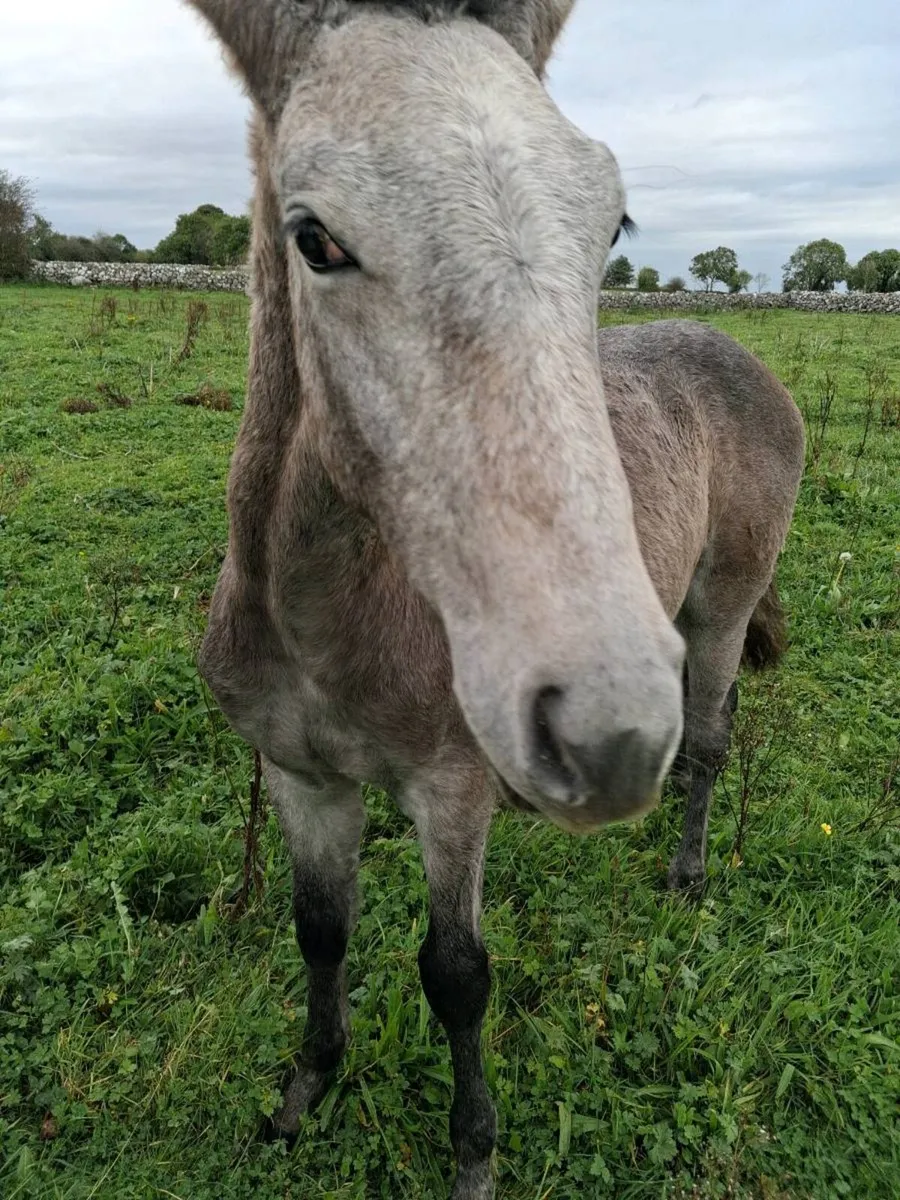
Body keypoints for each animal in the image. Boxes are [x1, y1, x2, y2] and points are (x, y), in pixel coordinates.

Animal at [183, 2, 804, 1194]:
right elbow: (318, 929)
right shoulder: (299, 777)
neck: (326, 619)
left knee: (710, 737)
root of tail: (738, 349)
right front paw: (303, 1094)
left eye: (611, 225)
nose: (607, 731)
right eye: (315, 239)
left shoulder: (453, 785)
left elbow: (456, 973)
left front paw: (473, 1151)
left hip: (721, 605)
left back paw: (688, 868)